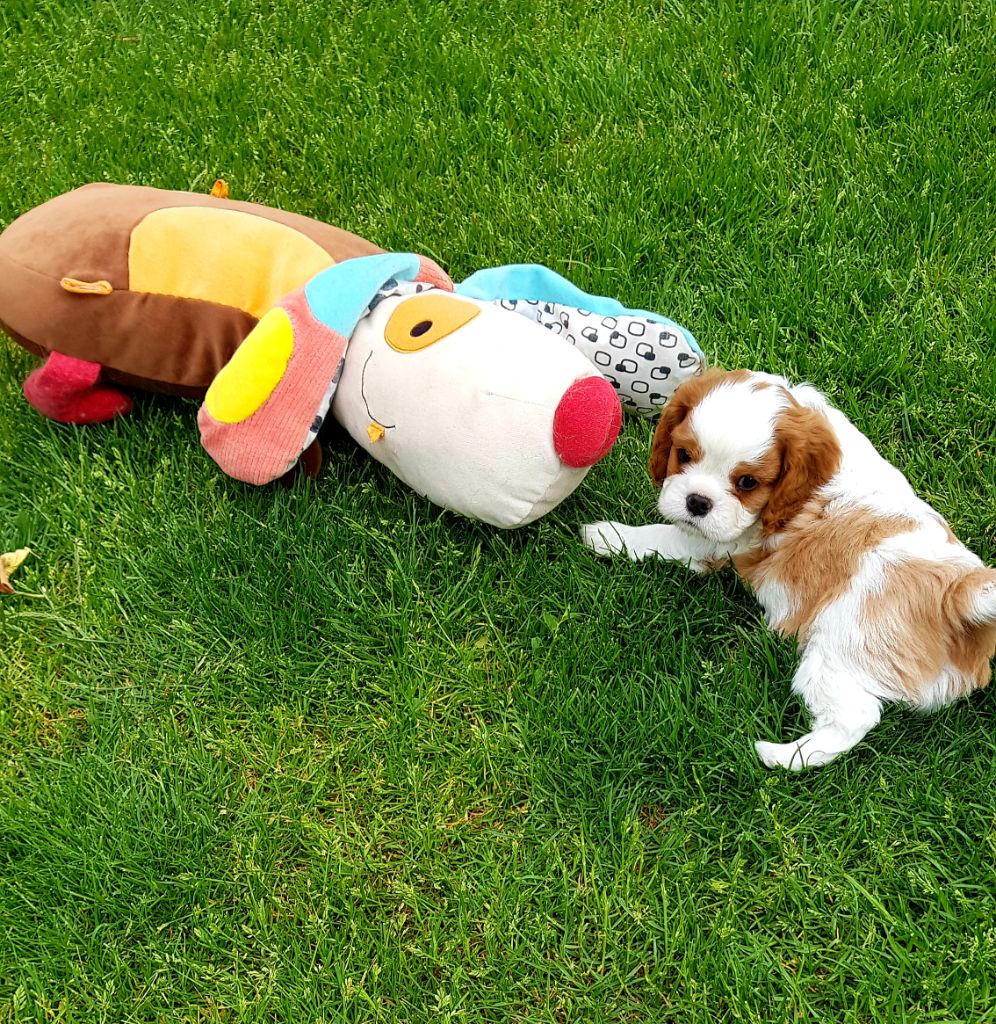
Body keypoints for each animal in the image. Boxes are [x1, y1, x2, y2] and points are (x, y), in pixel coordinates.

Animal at [582, 369, 996, 770]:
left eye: (747, 483)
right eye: (683, 455)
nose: (697, 502)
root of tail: (959, 593)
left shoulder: (716, 543)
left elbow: (663, 536)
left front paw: (605, 535)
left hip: (839, 648)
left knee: (854, 718)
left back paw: (780, 756)